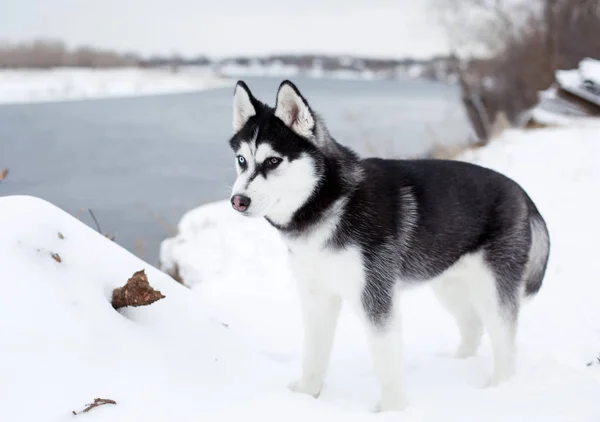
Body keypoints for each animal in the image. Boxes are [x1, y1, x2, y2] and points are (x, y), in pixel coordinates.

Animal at [225, 79, 548, 412]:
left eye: (273, 161)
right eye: (242, 160)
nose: (238, 201)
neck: (331, 203)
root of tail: (521, 192)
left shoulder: (376, 300)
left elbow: (387, 366)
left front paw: (393, 409)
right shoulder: (317, 296)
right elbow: (313, 357)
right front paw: (305, 397)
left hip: (492, 290)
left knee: (505, 344)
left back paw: (499, 390)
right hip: (448, 285)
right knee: (472, 325)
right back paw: (457, 365)